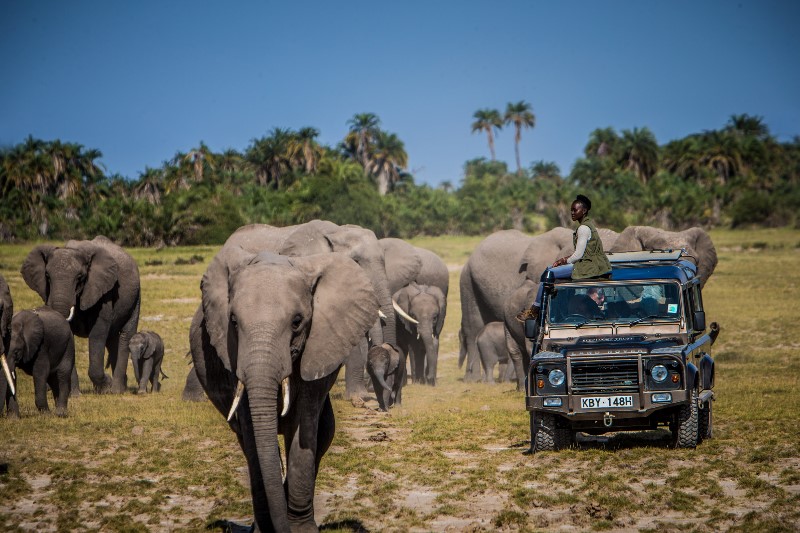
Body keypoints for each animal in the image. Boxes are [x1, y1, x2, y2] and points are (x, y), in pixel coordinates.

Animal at [21, 235, 141, 392]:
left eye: (79, 277)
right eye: (47, 276)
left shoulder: (102, 291)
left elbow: (98, 332)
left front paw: (106, 387)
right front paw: (73, 394)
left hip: (135, 297)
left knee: (126, 335)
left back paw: (116, 390)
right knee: (112, 339)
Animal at [191, 244, 378, 528]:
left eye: (297, 322)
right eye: (233, 321)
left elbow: (303, 429)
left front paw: (300, 529)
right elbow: (252, 436)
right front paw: (265, 528)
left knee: (324, 433)